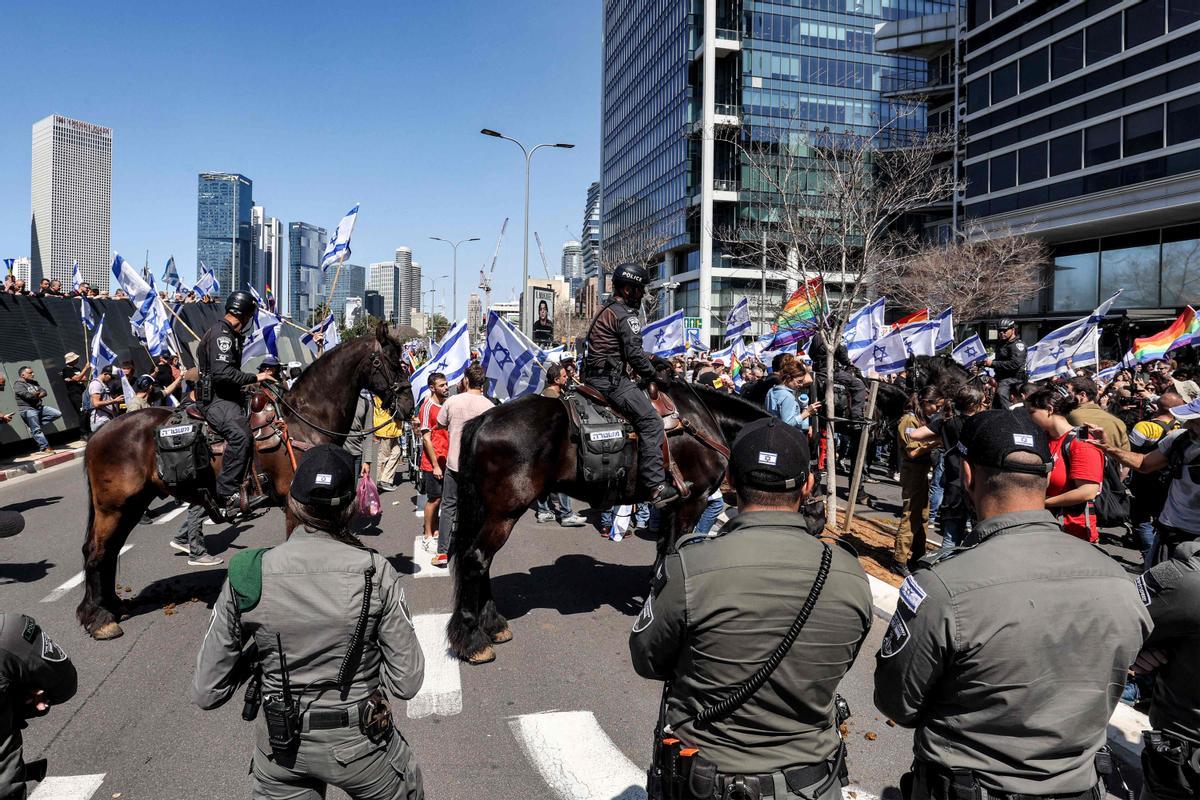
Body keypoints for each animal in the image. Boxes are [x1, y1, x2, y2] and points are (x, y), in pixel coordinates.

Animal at [76, 321, 412, 642]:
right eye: (392, 362)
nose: (408, 405)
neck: (305, 421)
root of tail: (98, 435)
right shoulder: (295, 504)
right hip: (113, 506)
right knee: (96, 551)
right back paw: (98, 619)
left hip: (131, 505)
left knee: (110, 550)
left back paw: (112, 605)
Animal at [446, 379, 772, 666]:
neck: (704, 422)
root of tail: (485, 418)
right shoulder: (693, 501)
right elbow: (673, 553)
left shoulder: (671, 505)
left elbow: (662, 555)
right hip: (505, 512)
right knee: (476, 559)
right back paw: (473, 641)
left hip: (489, 511)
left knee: (480, 561)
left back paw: (493, 625)